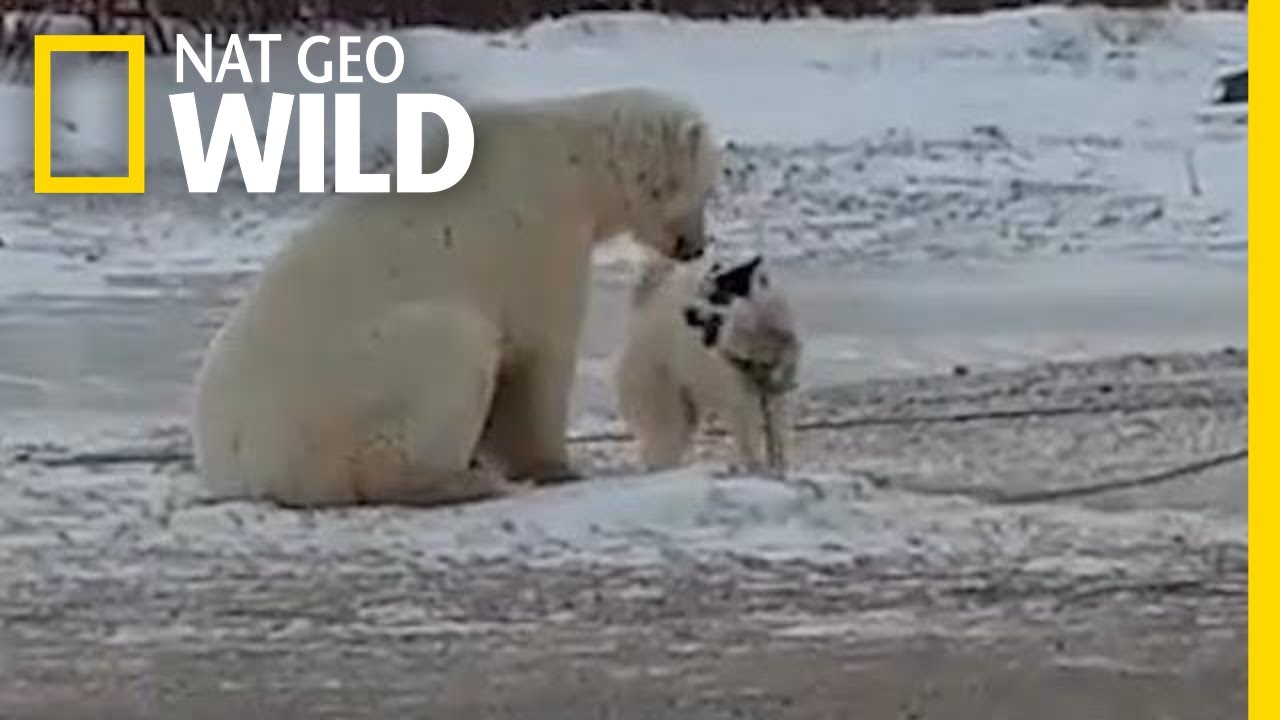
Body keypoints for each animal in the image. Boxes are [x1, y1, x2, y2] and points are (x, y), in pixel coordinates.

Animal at [192, 88, 720, 507]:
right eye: (705, 187)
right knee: (454, 348)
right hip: (350, 383)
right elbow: (538, 353)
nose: (694, 245)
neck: (571, 155)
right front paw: (555, 465)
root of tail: (246, 464)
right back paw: (459, 480)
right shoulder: (542, 232)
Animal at [616, 253, 801, 476]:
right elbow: (751, 445)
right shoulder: (741, 403)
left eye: (715, 294)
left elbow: (779, 441)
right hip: (666, 405)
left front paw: (779, 471)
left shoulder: (777, 396)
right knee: (662, 442)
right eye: (699, 291)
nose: (686, 312)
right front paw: (757, 472)